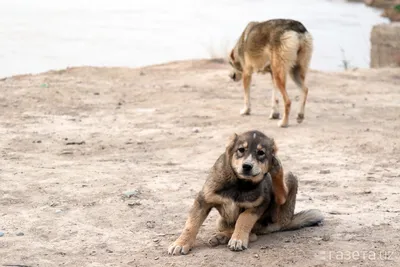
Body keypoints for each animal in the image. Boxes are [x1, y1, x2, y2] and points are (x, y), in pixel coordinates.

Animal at [167, 131, 324, 256]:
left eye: (261, 153)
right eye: (241, 150)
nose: (247, 166)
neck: (240, 183)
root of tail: (285, 222)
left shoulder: (258, 205)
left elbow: (243, 219)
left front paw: (238, 239)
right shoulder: (203, 200)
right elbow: (191, 224)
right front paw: (180, 243)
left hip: (286, 189)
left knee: (258, 228)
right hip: (221, 222)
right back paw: (221, 237)